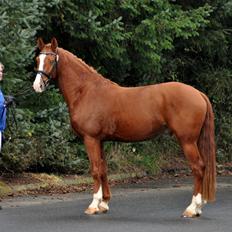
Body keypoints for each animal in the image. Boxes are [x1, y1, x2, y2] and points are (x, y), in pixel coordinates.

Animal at [32, 37, 216, 218]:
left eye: (50, 60)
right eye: (37, 60)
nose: (37, 86)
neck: (86, 91)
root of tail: (198, 93)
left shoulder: (90, 139)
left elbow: (95, 170)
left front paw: (93, 206)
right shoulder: (100, 140)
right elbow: (103, 169)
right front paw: (104, 204)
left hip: (187, 141)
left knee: (198, 168)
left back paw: (192, 208)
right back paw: (198, 208)